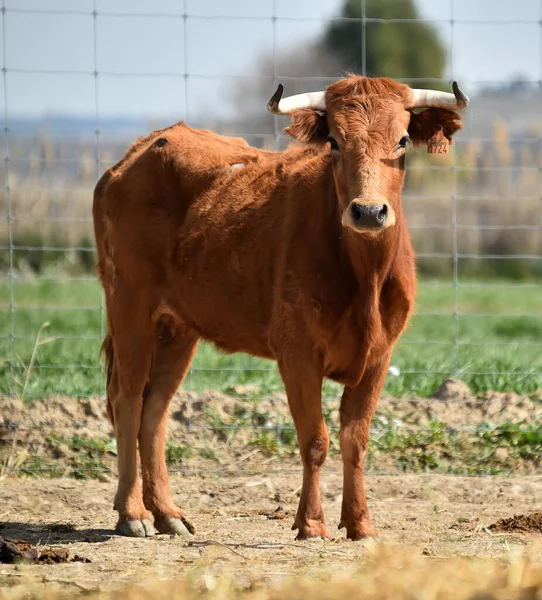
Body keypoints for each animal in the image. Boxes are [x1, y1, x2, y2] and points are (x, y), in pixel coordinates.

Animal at [92, 74, 468, 540]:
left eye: (401, 140)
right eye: (334, 142)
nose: (367, 211)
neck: (364, 277)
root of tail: (137, 153)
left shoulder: (379, 357)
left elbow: (356, 440)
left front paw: (360, 523)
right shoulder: (298, 353)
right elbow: (315, 440)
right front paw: (311, 523)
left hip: (177, 327)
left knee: (155, 407)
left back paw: (167, 513)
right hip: (129, 306)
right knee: (126, 399)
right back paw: (133, 513)